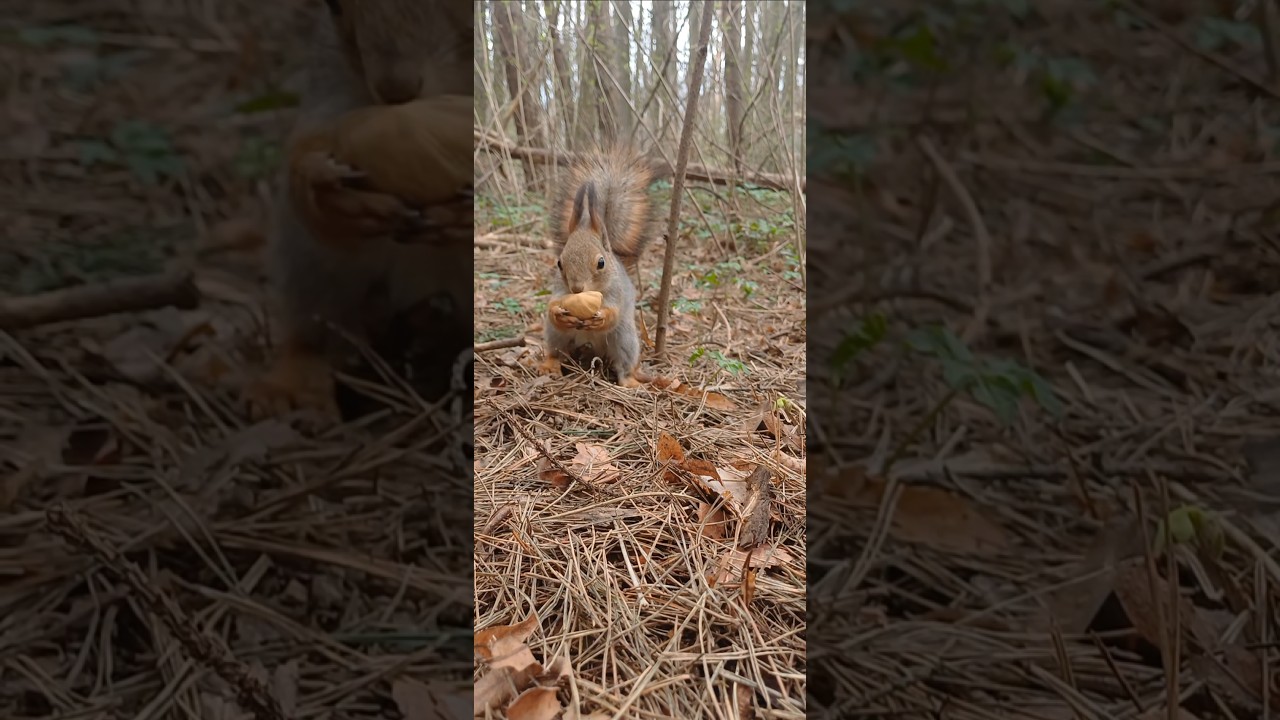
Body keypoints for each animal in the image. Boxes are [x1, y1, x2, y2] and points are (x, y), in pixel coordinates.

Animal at [245, 0, 473, 420]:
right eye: (334, 6)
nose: (395, 90)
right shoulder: (332, 78)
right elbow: (306, 142)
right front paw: (324, 189)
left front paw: (463, 216)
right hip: (309, 260)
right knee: (315, 332)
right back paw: (292, 382)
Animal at [542, 148, 657, 388]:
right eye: (559, 263)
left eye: (601, 263)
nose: (576, 289)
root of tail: (591, 346)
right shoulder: (559, 290)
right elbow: (552, 305)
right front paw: (558, 312)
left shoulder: (616, 293)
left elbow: (612, 312)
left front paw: (602, 317)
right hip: (556, 335)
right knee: (556, 351)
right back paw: (550, 365)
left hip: (624, 339)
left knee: (624, 364)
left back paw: (629, 381)